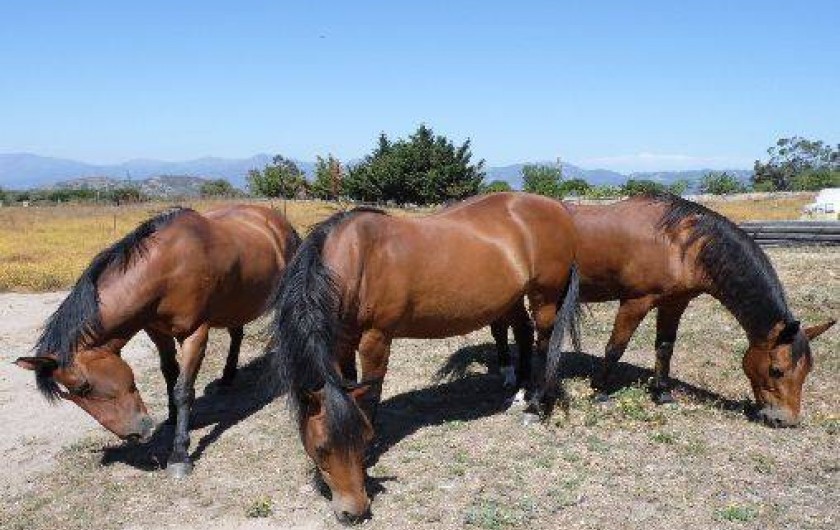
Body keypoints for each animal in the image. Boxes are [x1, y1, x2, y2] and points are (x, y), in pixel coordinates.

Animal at [15, 204, 299, 478]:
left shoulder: (194, 334)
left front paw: (179, 454)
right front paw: (173, 417)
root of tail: (277, 220)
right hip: (235, 304)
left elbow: (184, 389)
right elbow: (169, 374)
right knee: (236, 334)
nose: (134, 434)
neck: (168, 267)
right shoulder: (156, 331)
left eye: (84, 387)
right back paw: (228, 377)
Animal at [269, 192, 582, 524]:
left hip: (545, 297)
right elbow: (351, 386)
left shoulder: (376, 338)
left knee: (543, 344)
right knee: (522, 332)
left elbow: (371, 394)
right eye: (321, 448)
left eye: (363, 440)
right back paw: (519, 391)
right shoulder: (342, 342)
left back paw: (535, 404)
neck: (357, 258)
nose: (353, 512)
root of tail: (558, 208)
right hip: (513, 298)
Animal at [492, 193, 835, 427]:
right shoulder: (636, 301)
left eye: (807, 371)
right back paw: (514, 382)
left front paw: (663, 394)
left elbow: (665, 347)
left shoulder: (674, 303)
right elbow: (615, 347)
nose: (785, 420)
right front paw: (600, 392)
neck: (680, 244)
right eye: (777, 370)